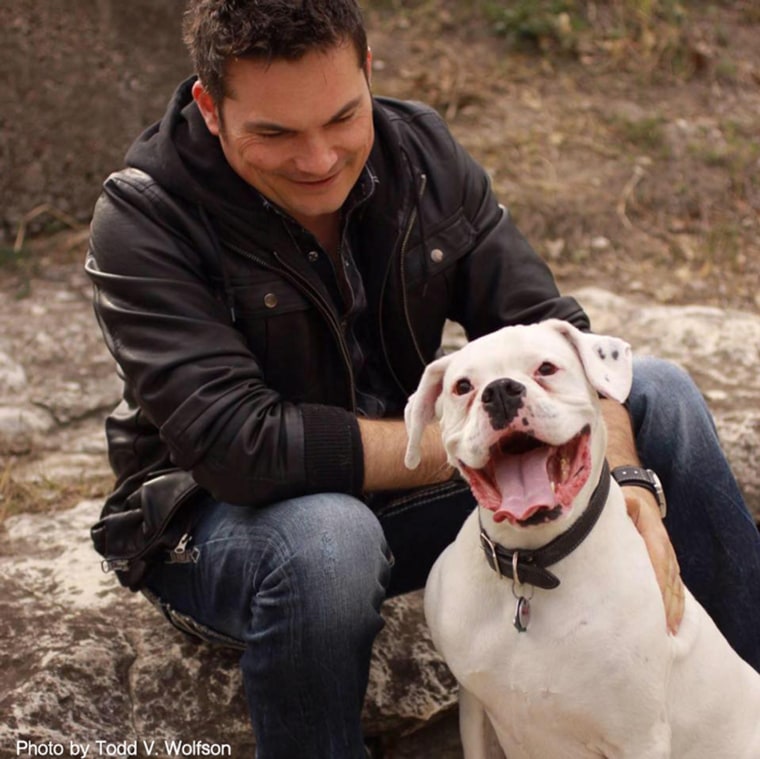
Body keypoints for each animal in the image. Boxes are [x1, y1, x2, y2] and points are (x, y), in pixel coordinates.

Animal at [404, 318, 760, 756]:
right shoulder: (474, 707)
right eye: (463, 387)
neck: (530, 564)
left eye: (546, 368)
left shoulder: (639, 737)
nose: (500, 391)